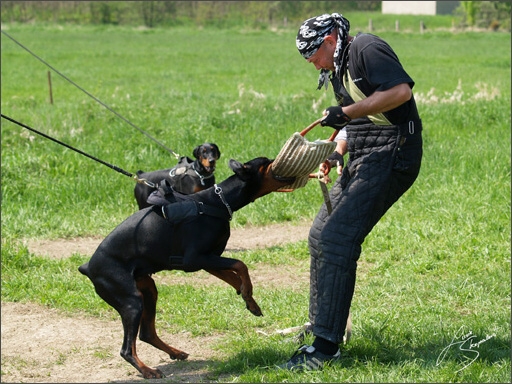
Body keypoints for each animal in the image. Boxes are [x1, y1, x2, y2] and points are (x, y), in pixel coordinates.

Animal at [80, 156, 296, 378]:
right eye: (266, 162)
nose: (277, 158)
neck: (219, 201)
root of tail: (88, 267)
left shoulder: (209, 258)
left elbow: (234, 275)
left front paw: (248, 299)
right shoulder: (194, 259)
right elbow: (240, 264)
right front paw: (247, 292)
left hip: (147, 290)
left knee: (147, 333)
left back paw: (175, 352)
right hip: (131, 300)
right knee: (126, 349)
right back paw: (148, 370)